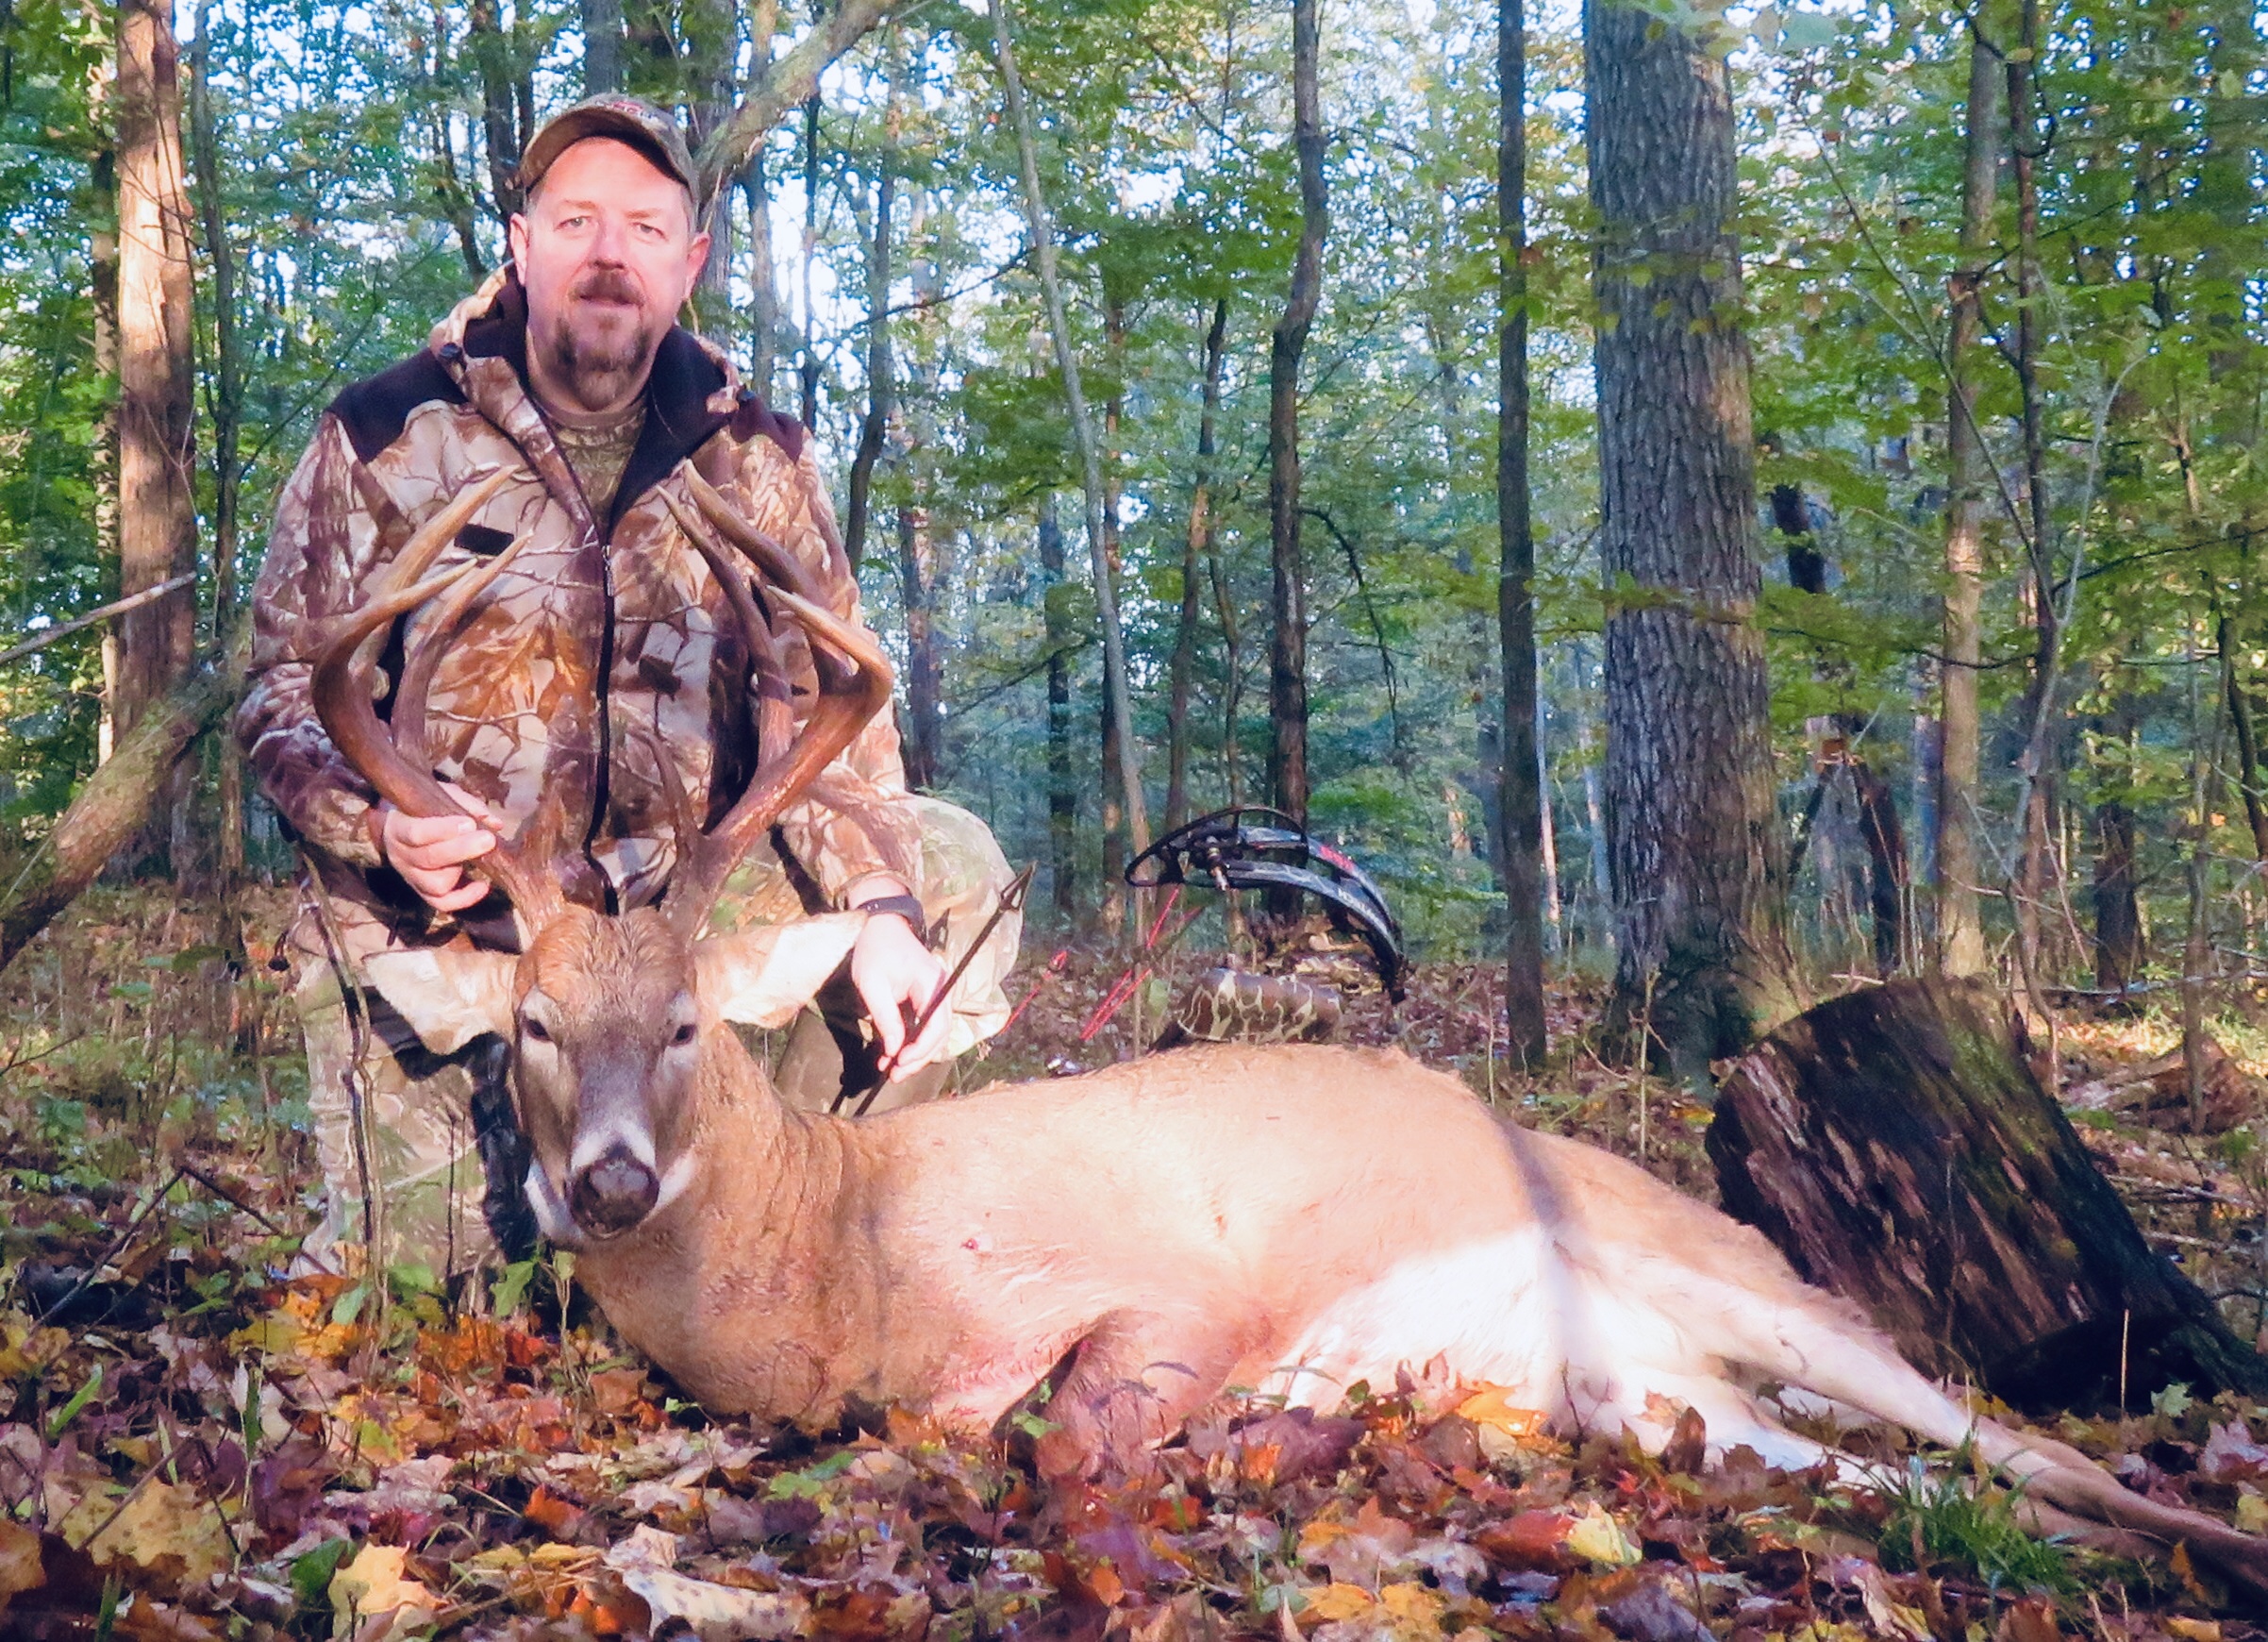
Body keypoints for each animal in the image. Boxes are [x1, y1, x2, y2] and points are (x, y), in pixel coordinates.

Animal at [309, 469, 2268, 1598]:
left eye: (691, 1029)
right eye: (531, 1024)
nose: (607, 1187)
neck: (833, 1269)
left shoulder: (1164, 1280)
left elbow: (1064, 1440)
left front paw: (1232, 1439)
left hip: (1746, 1283)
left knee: (2027, 1446)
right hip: (1664, 1398)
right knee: (1921, 1479)